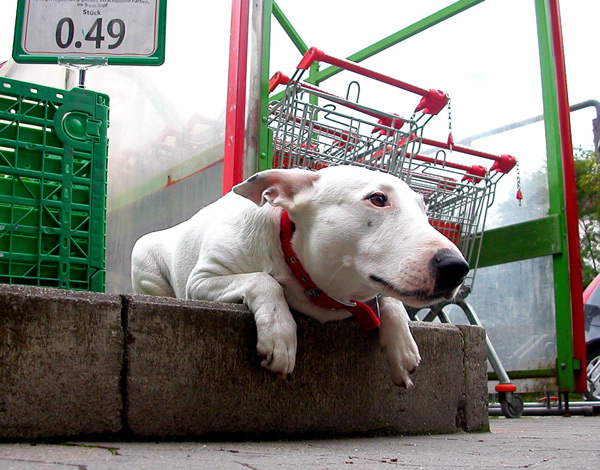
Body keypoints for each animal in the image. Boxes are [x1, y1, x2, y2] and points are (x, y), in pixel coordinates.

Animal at [131, 167, 468, 388]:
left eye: (424, 211)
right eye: (377, 198)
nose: (457, 267)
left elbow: (388, 299)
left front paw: (402, 346)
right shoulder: (202, 281)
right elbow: (263, 280)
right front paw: (280, 336)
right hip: (143, 255)